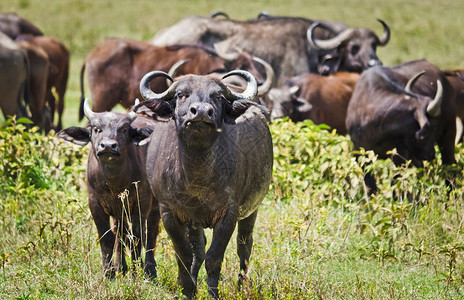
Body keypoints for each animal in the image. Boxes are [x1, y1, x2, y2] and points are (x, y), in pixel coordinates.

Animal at [56, 99, 160, 280]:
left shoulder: (142, 204)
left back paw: (148, 269)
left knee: (151, 233)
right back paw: (121, 267)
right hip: (120, 212)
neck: (114, 182)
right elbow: (107, 237)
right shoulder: (95, 204)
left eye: (124, 129)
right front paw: (108, 271)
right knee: (121, 234)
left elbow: (137, 237)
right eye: (96, 129)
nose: (108, 146)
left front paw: (135, 272)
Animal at [344, 59, 456, 195]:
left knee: (450, 165)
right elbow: (370, 185)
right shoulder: (359, 153)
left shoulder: (400, 155)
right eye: (434, 126)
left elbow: (397, 181)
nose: (431, 155)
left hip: (449, 134)